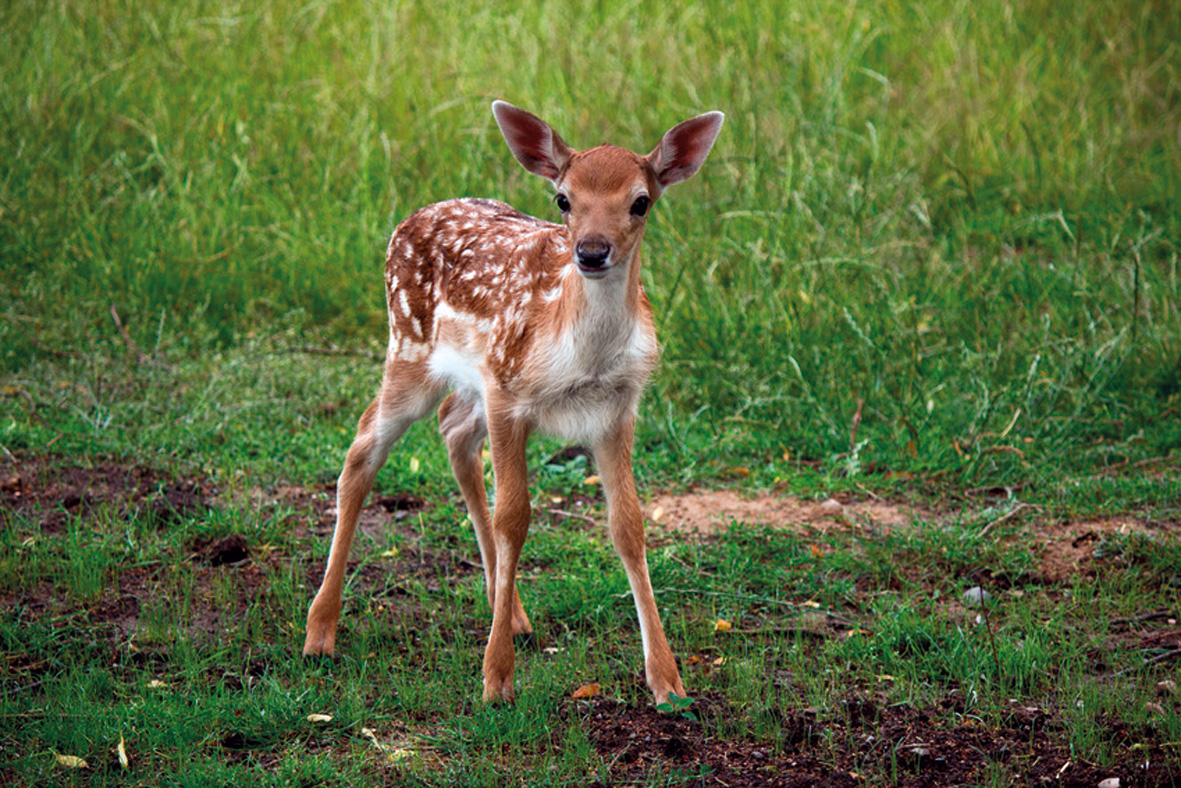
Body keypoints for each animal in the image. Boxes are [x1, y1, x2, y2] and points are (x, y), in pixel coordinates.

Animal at [299, 100, 722, 708]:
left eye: (640, 201)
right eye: (563, 199)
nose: (591, 252)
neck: (581, 355)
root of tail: (407, 221)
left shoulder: (617, 410)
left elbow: (628, 525)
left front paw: (666, 680)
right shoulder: (509, 394)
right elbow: (514, 517)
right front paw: (496, 680)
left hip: (467, 381)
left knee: (452, 429)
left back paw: (514, 612)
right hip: (409, 349)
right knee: (362, 451)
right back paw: (320, 632)